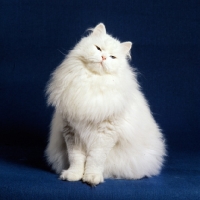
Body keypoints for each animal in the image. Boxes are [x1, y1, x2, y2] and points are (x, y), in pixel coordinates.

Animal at [45, 23, 166, 186]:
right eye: (98, 48)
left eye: (112, 57)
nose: (103, 57)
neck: (92, 81)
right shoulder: (72, 131)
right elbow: (76, 158)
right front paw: (73, 175)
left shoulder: (105, 134)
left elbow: (95, 159)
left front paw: (91, 177)